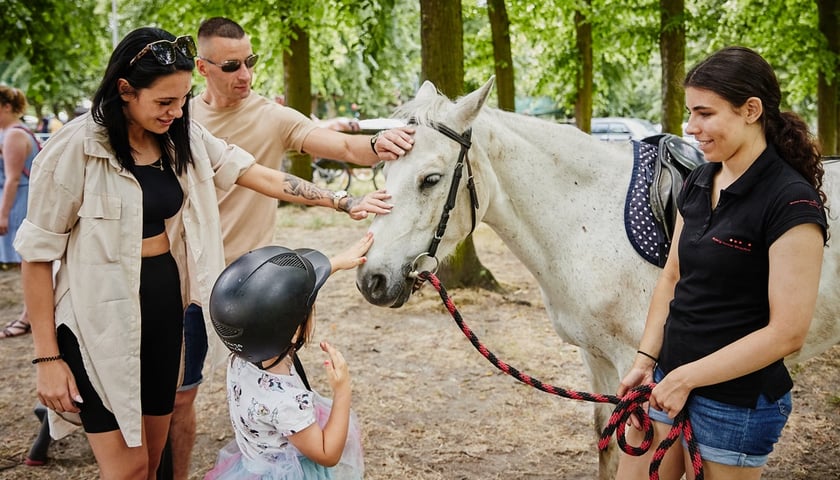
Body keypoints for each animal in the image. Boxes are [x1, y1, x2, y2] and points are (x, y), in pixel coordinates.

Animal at [358, 77, 840, 478]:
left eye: (430, 179)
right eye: (384, 170)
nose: (371, 279)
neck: (588, 220)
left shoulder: (642, 372)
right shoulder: (599, 361)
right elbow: (607, 443)